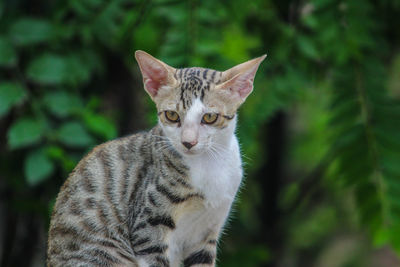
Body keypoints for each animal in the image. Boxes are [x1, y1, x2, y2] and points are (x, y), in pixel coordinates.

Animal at [46, 50, 266, 267]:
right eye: (171, 115)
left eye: (210, 117)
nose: (188, 142)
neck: (207, 165)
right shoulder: (148, 225)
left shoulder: (208, 229)